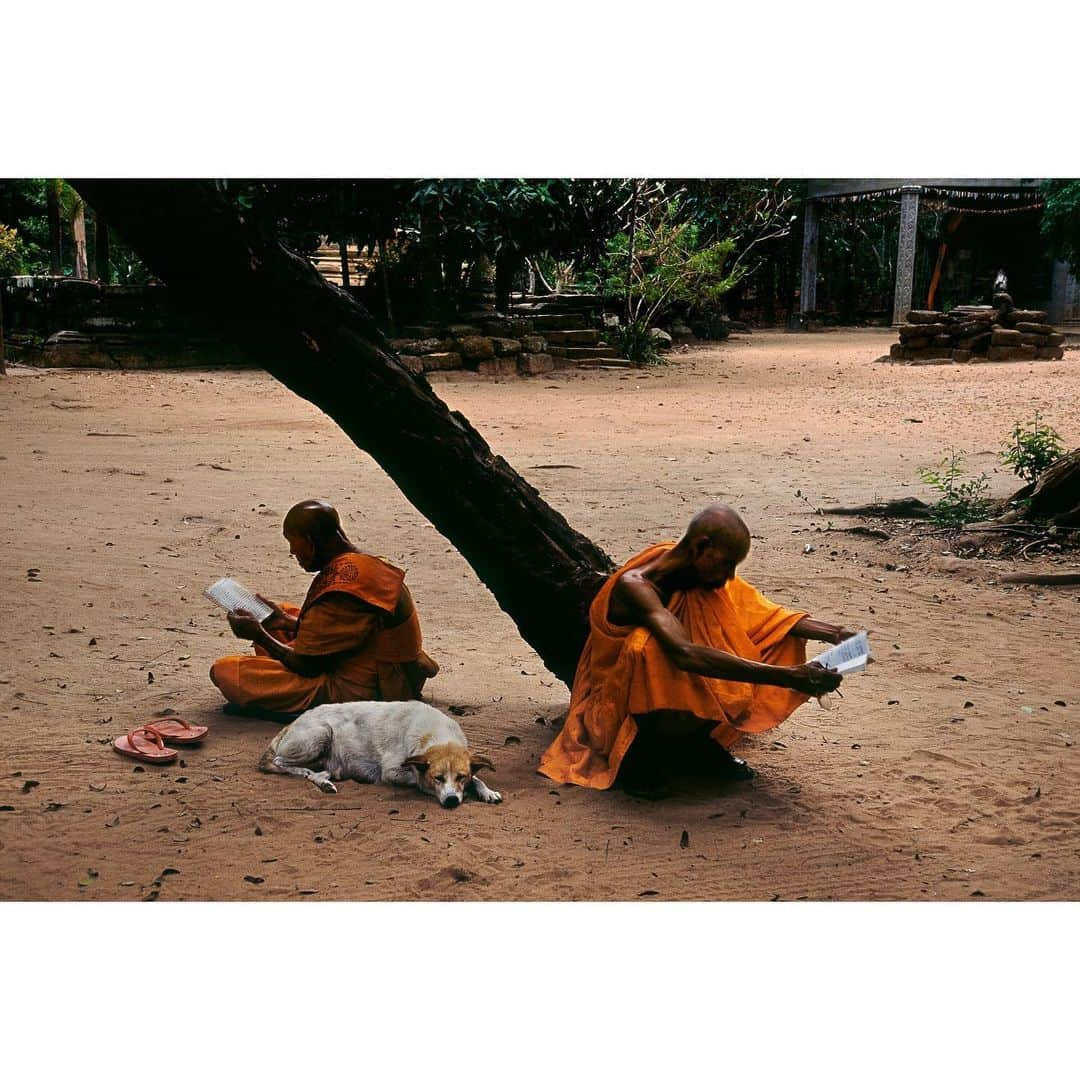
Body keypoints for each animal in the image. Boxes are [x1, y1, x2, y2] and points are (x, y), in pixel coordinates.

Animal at [257, 699, 501, 812]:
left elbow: (477, 777)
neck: (434, 734)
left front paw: (487, 791)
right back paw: (311, 773)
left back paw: (325, 780)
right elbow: (417, 777)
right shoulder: (391, 771)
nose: (451, 801)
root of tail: (292, 723)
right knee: (281, 762)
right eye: (437, 778)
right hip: (320, 734)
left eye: (461, 776)